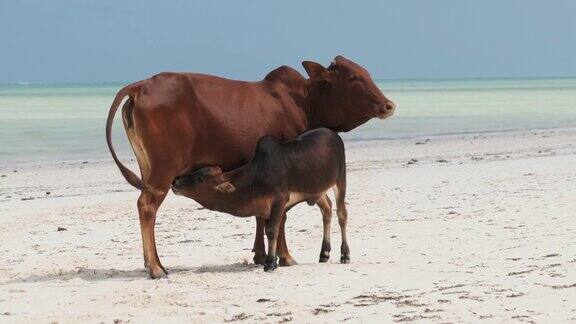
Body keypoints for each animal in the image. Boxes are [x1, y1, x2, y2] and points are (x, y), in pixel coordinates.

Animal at [106, 55, 396, 278]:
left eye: (366, 73)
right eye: (353, 77)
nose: (389, 105)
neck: (302, 100)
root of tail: (142, 85)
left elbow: (261, 215)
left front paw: (260, 256)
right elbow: (280, 218)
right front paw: (284, 257)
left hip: (148, 168)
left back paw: (151, 262)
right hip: (163, 171)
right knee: (146, 206)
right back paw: (156, 268)